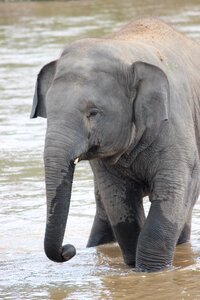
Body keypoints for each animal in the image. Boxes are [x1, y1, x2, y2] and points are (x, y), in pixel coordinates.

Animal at [30, 18, 200, 272]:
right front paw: (133, 267)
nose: (68, 250)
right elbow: (118, 200)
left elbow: (172, 190)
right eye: (48, 112)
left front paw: (150, 272)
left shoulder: (176, 125)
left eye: (93, 113)